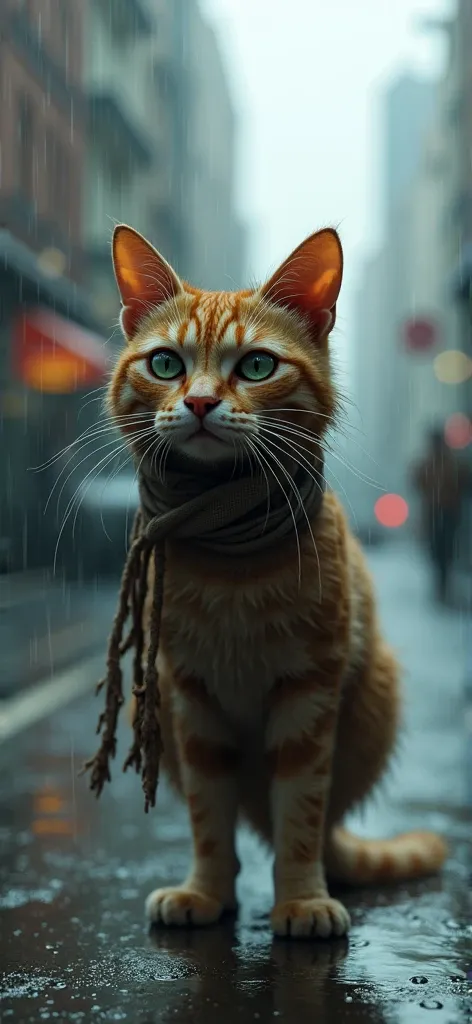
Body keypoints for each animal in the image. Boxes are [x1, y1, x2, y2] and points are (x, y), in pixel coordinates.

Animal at [106, 222, 444, 937]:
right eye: (166, 365)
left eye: (257, 366)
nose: (200, 402)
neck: (231, 565)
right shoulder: (191, 697)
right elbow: (209, 817)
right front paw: (205, 891)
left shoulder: (309, 694)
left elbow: (302, 814)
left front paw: (301, 898)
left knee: (322, 824)